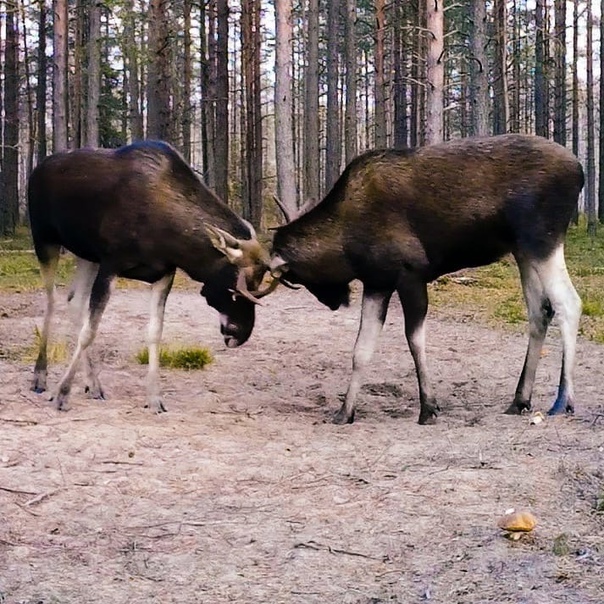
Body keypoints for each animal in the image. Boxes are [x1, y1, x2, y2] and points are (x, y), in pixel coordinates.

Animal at [27, 140, 274, 412]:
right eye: (235, 287)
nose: (240, 335)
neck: (173, 238)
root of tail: (36, 170)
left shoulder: (163, 273)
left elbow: (155, 332)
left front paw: (155, 398)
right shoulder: (111, 263)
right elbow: (90, 332)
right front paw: (62, 393)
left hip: (86, 255)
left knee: (74, 300)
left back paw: (93, 383)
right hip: (44, 239)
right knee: (51, 301)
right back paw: (40, 377)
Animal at [272, 133, 584, 424]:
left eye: (297, 276)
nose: (334, 302)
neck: (346, 243)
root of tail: (580, 172)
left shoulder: (411, 274)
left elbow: (414, 340)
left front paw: (428, 407)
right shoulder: (377, 283)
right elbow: (361, 350)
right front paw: (345, 412)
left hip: (542, 240)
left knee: (569, 303)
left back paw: (562, 401)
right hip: (522, 250)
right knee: (539, 311)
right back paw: (520, 400)